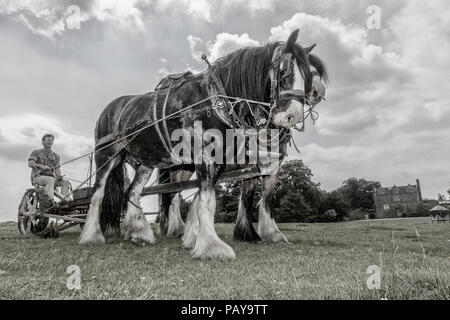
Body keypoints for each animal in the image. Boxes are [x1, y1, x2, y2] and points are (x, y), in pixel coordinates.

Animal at [80, 29, 326, 260]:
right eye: (285, 70)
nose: (292, 116)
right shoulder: (207, 155)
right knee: (98, 193)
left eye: (307, 75)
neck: (217, 99)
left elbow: (235, 198)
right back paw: (92, 235)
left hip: (146, 161)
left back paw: (139, 233)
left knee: (133, 192)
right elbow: (208, 200)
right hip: (107, 154)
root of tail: (111, 107)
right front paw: (211, 246)